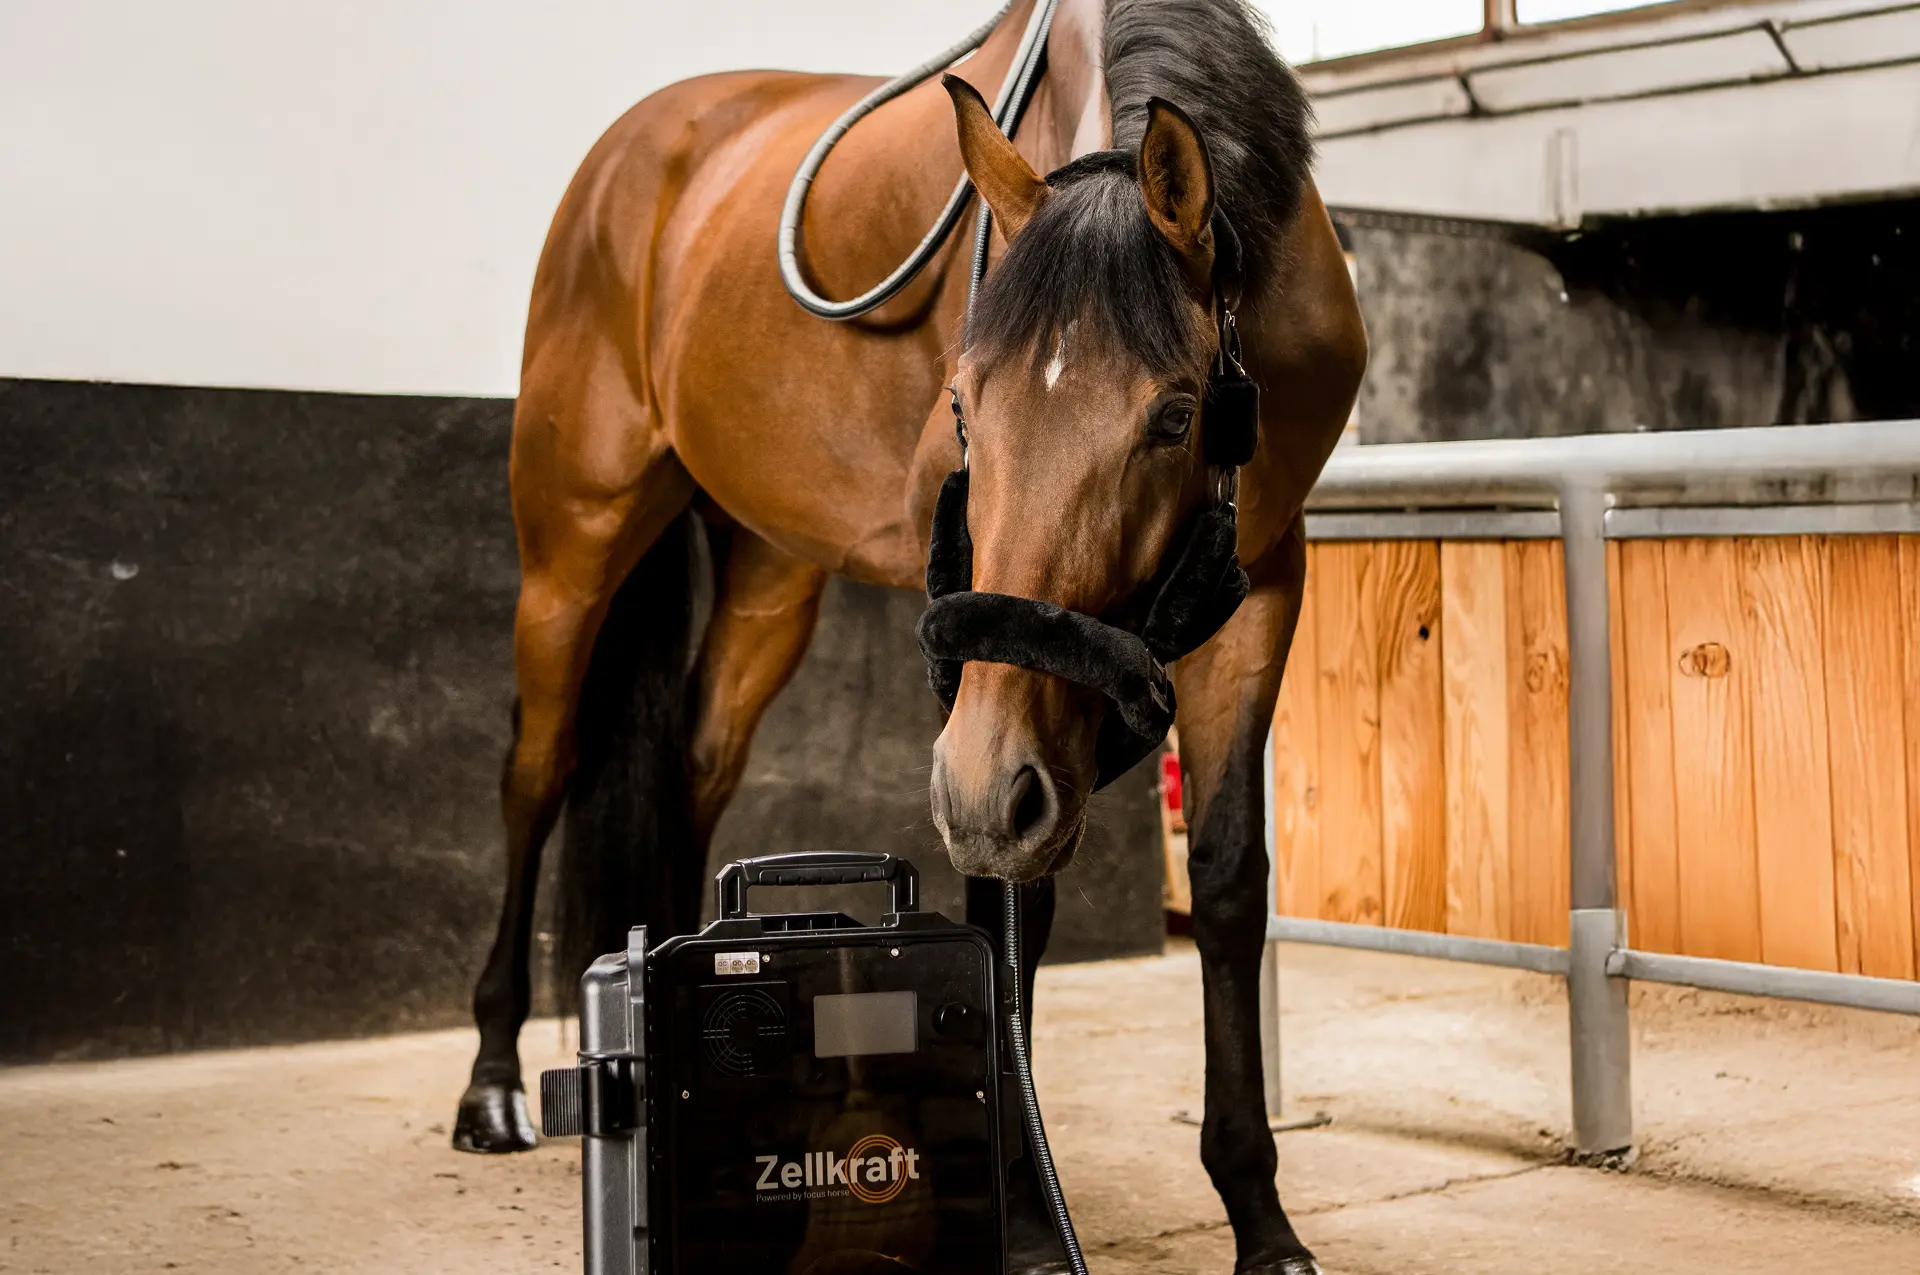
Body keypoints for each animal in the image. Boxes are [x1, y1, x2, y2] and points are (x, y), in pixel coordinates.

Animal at [454, 2, 1366, 1271]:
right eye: (964, 406)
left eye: (1175, 415)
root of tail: (630, 154)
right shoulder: (969, 639)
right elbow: (1004, 901)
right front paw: (1026, 1204)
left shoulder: (1264, 581)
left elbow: (1231, 887)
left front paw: (1260, 1216)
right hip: (572, 541)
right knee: (534, 773)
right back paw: (492, 1083)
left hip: (771, 575)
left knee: (691, 769)